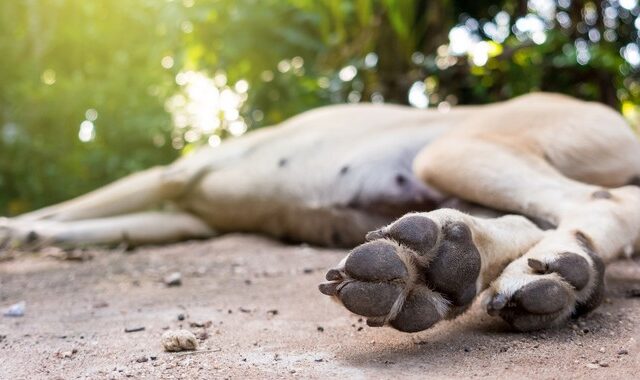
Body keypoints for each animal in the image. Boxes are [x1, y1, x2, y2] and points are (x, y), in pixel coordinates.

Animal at [1, 93, 640, 332]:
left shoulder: (168, 175)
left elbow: (75, 204)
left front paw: (15, 227)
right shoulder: (188, 217)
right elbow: (95, 220)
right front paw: (29, 234)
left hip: (454, 149)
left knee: (602, 201)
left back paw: (558, 266)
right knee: (531, 221)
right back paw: (442, 268)